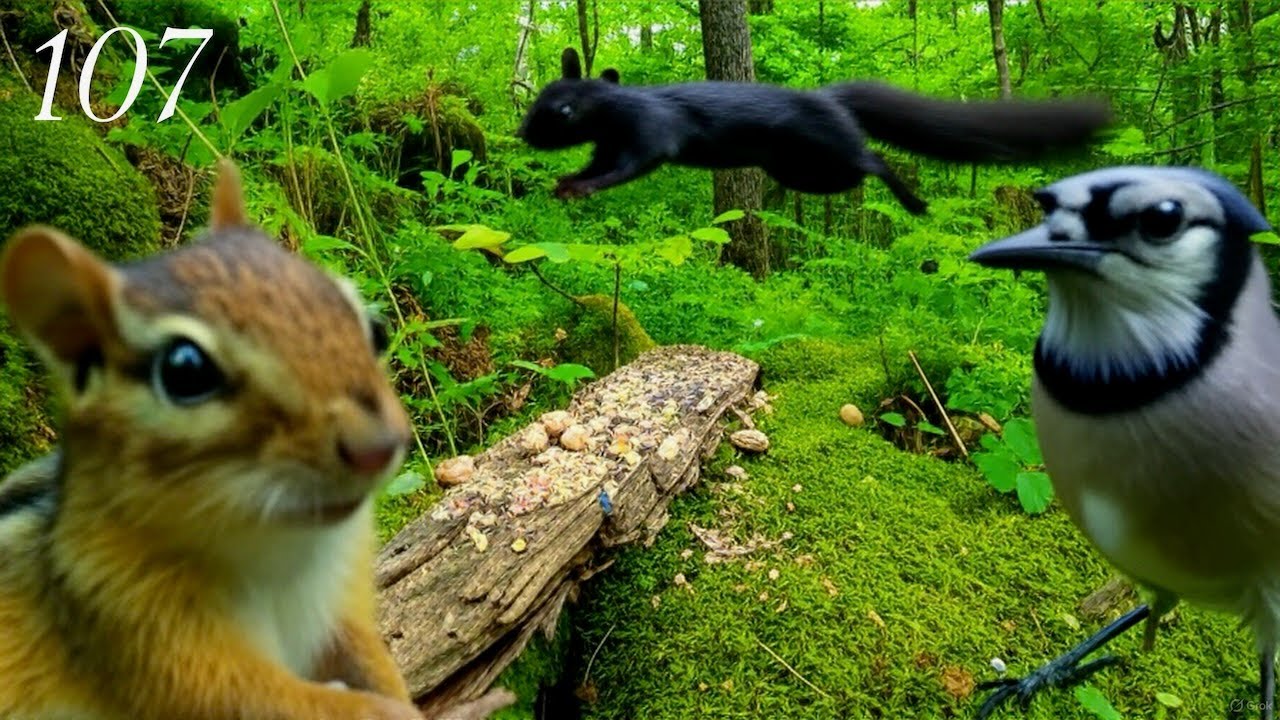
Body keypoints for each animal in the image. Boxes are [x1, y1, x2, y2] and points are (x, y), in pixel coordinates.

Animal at [0, 161, 423, 720]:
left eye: (376, 328)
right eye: (185, 371)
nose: (377, 446)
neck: (282, 556)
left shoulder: (341, 599)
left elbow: (366, 655)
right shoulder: (127, 617)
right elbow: (253, 699)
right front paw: (376, 711)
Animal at [517, 47, 1113, 214]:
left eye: (562, 109)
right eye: (539, 97)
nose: (525, 135)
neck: (616, 107)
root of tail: (831, 100)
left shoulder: (648, 132)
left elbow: (626, 167)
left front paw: (581, 187)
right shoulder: (608, 143)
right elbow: (601, 163)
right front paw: (566, 182)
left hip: (830, 148)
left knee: (875, 159)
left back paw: (912, 200)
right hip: (806, 171)